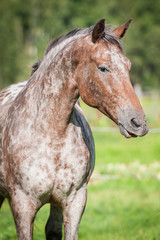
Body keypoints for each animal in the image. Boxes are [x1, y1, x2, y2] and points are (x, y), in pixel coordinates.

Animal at [0, 18, 148, 240]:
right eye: (103, 68)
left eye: (128, 66)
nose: (138, 123)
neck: (52, 135)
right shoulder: (22, 205)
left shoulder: (75, 202)